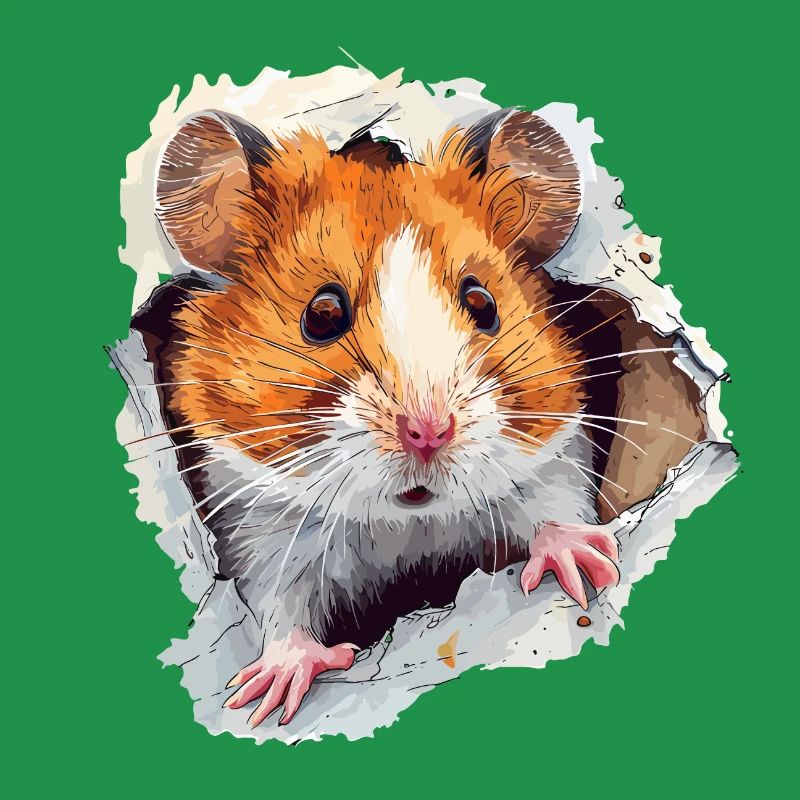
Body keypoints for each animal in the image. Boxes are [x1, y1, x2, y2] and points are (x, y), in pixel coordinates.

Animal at [132, 108, 622, 727]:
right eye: (321, 314)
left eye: (483, 303)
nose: (429, 433)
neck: (405, 524)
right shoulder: (259, 533)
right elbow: (280, 612)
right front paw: (267, 696)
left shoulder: (552, 462)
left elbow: (554, 510)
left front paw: (592, 565)